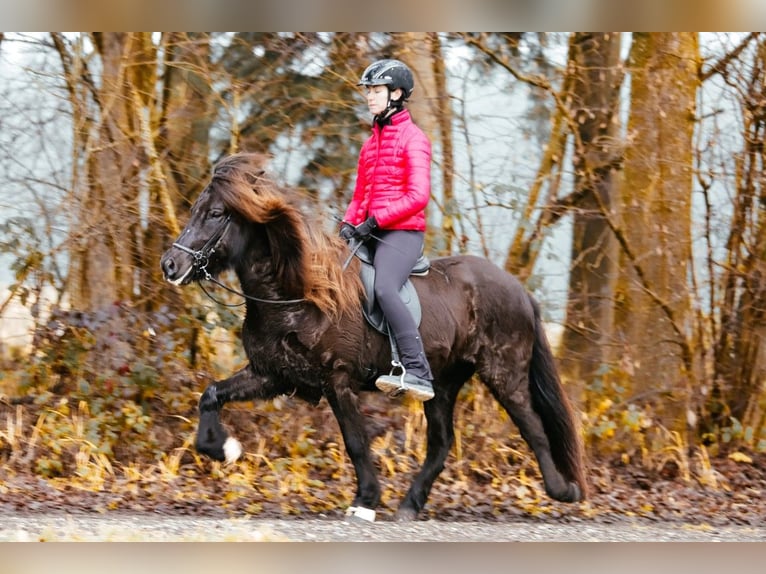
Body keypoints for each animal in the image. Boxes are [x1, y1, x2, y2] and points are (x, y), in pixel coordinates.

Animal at [160, 152, 587, 521]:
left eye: (216, 214)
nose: (170, 265)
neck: (296, 294)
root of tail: (519, 290)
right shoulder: (272, 375)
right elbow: (211, 395)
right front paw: (224, 449)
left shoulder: (337, 380)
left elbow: (355, 441)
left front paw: (365, 501)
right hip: (442, 383)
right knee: (442, 443)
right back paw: (410, 506)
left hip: (504, 373)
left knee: (532, 427)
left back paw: (563, 490)